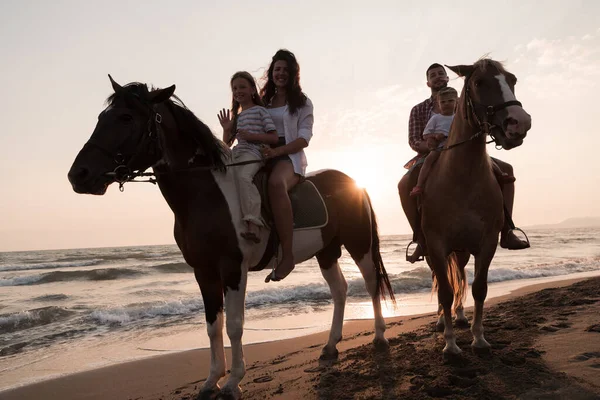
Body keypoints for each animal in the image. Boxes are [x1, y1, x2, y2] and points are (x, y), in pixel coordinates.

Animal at [68, 76, 396, 400]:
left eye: (126, 117)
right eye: (101, 118)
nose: (78, 175)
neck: (205, 194)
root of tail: (354, 183)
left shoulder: (232, 268)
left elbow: (235, 325)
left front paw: (233, 382)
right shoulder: (203, 271)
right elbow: (213, 325)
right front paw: (211, 380)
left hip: (359, 244)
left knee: (371, 284)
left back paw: (380, 336)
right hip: (326, 251)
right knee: (339, 290)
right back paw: (330, 346)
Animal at [398, 57, 528, 354]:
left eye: (512, 80)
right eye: (479, 83)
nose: (520, 123)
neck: (462, 178)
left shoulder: (487, 242)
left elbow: (479, 288)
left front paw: (478, 338)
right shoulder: (436, 244)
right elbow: (445, 291)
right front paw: (450, 345)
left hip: (462, 250)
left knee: (458, 276)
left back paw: (459, 316)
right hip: (435, 250)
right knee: (441, 281)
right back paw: (441, 321)